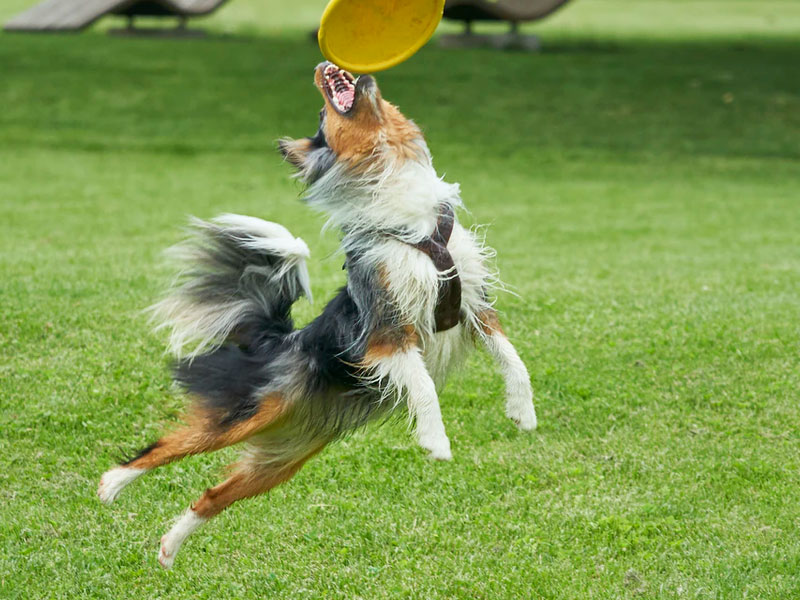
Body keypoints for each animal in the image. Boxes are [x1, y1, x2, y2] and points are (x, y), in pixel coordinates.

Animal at [100, 63, 536, 568]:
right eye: (322, 117)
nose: (343, 69)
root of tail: (279, 340)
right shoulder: (387, 331)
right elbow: (424, 386)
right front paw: (436, 441)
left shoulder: (474, 307)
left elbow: (513, 359)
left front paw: (522, 412)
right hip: (248, 411)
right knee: (168, 445)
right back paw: (112, 484)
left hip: (281, 458)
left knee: (211, 495)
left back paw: (169, 547)